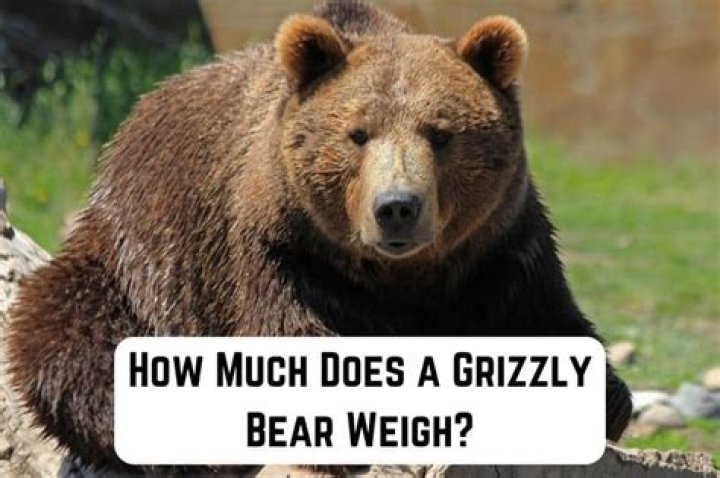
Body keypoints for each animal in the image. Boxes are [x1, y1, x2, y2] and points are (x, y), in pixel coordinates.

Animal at [7, 0, 632, 474]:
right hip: (136, 263)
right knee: (68, 334)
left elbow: (548, 325)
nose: (396, 208)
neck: (405, 278)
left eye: (441, 133)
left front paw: (607, 399)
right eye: (358, 134)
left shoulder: (500, 249)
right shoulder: (285, 254)